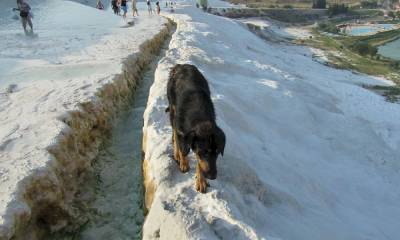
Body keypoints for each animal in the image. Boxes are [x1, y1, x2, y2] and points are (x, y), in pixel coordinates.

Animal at [166, 63, 225, 193]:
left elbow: (199, 162)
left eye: (217, 152)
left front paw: (201, 180)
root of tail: (181, 65)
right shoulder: (180, 128)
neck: (200, 117)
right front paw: (183, 162)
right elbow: (182, 147)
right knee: (174, 131)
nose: (213, 176)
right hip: (172, 109)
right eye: (204, 152)